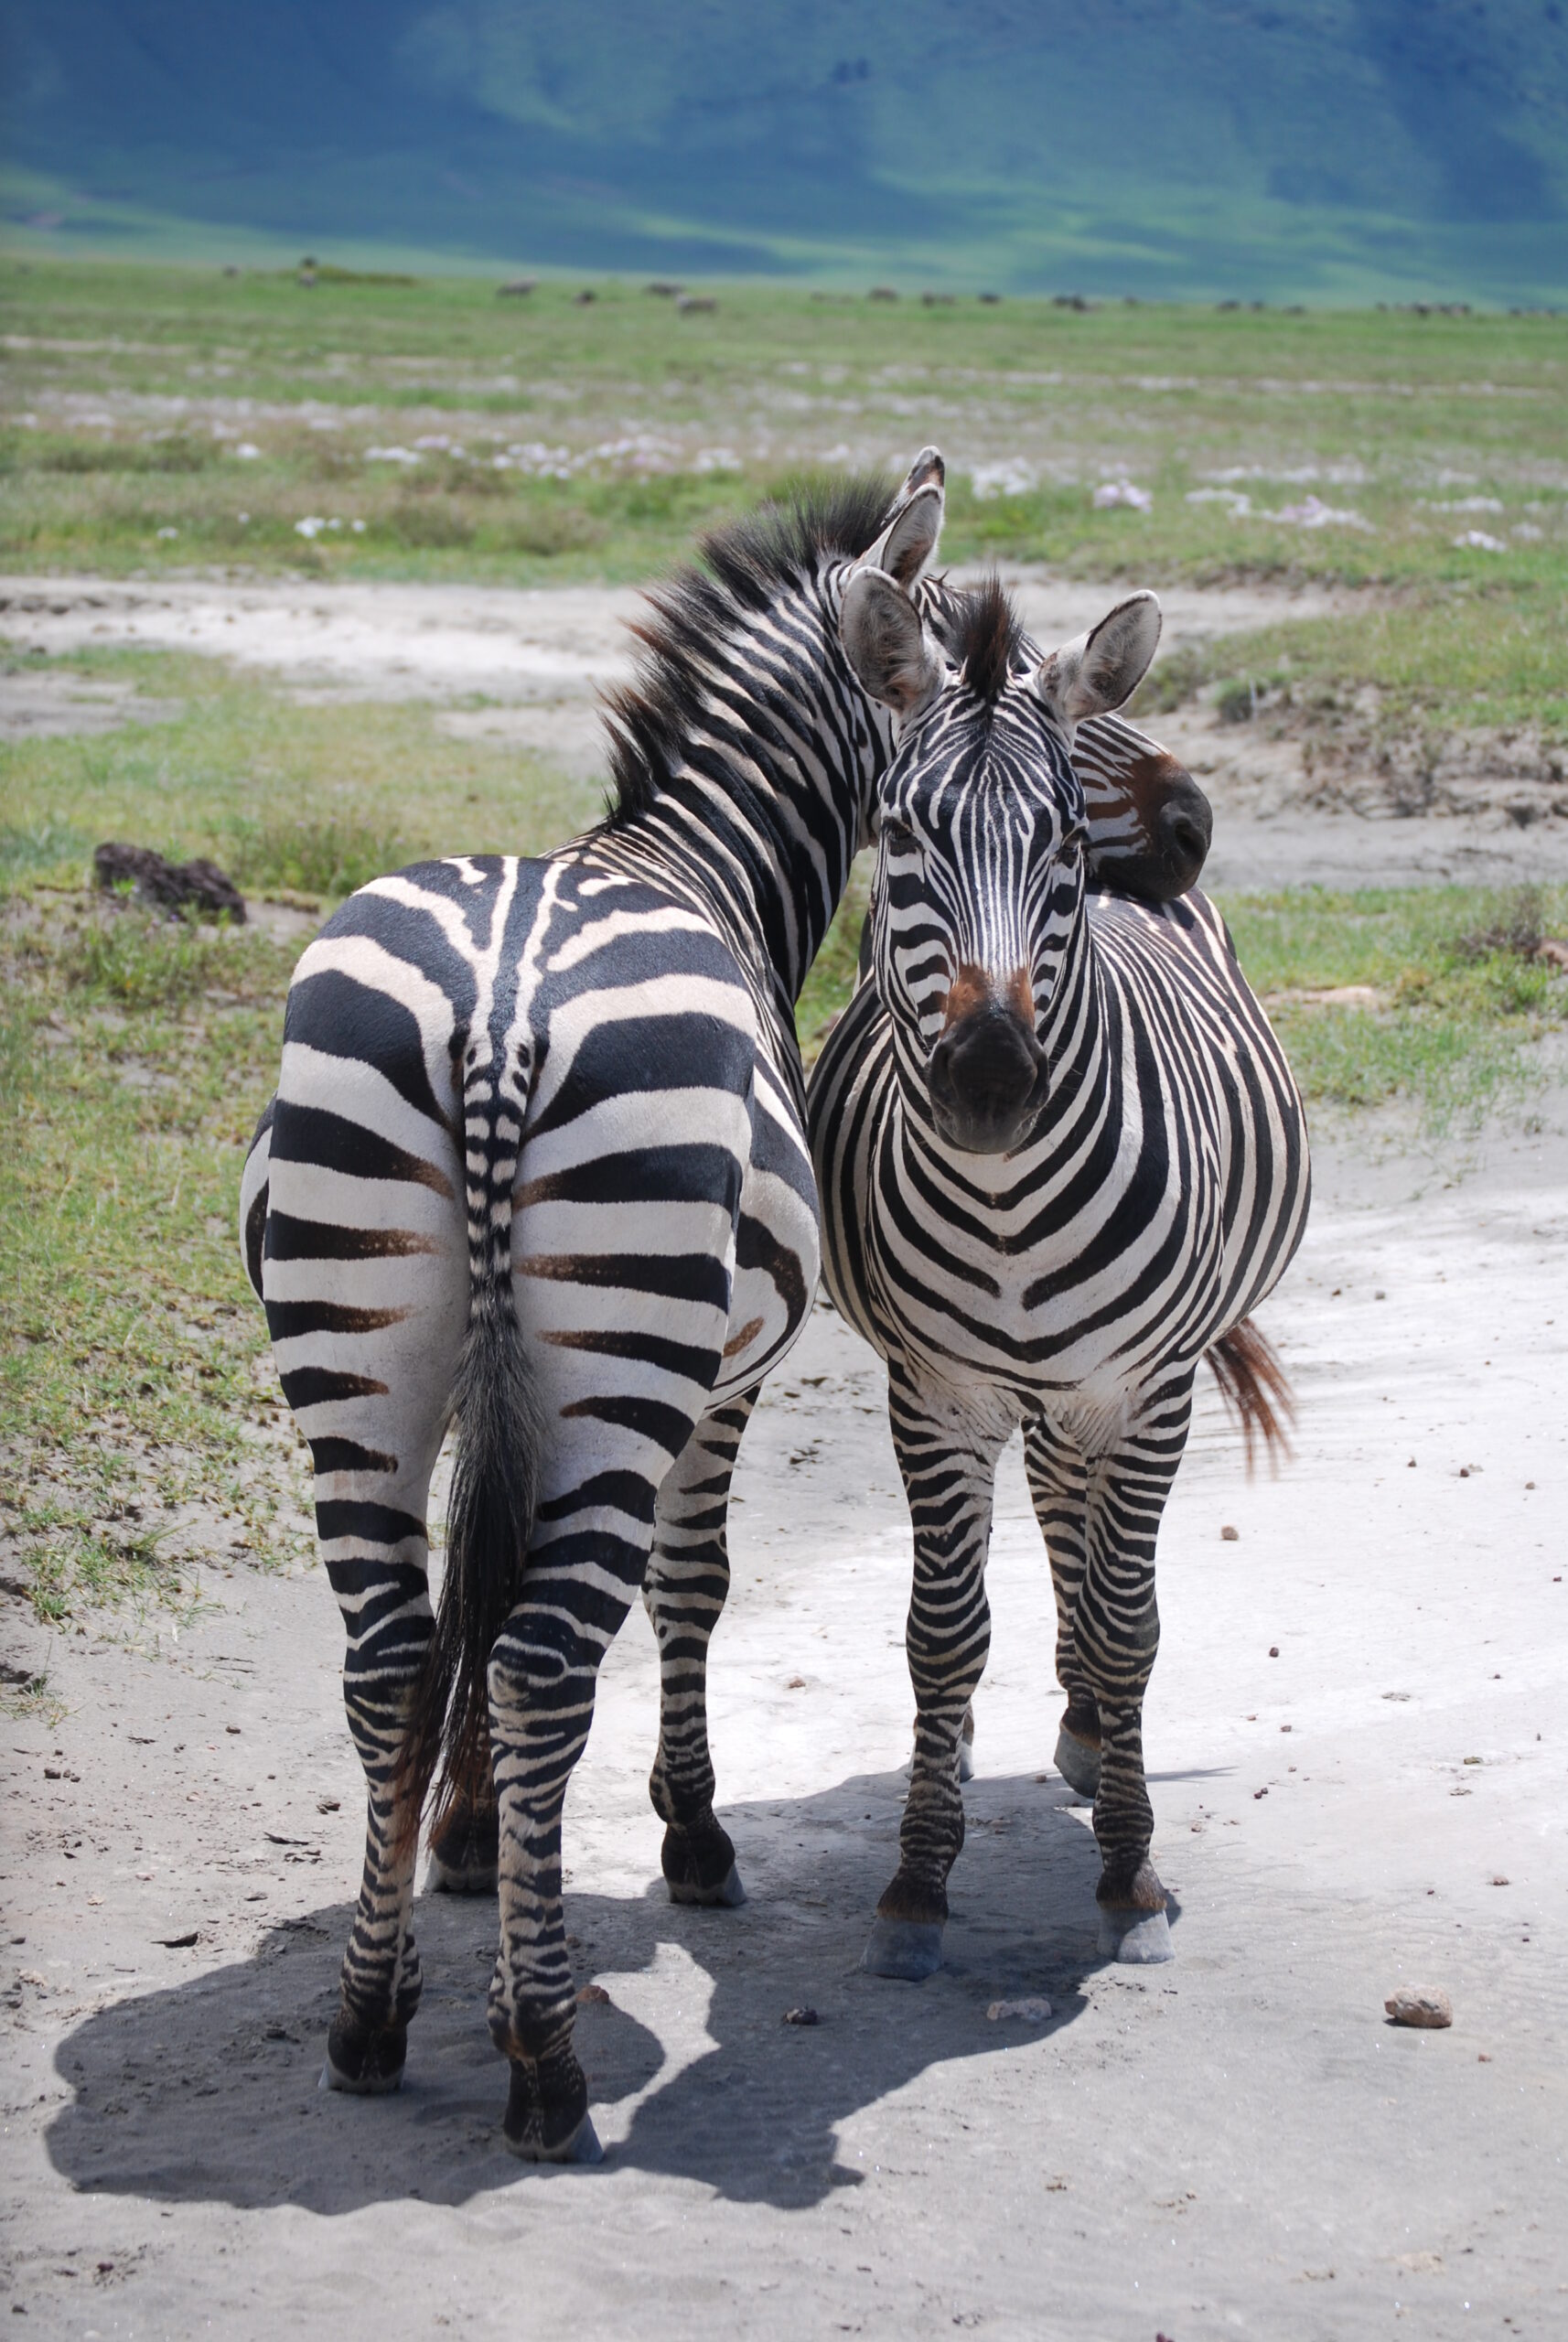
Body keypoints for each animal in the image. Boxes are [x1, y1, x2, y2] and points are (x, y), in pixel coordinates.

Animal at [240, 446, 1208, 2164]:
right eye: (1028, 673)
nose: (1192, 821)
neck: (696, 856)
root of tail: (496, 1011)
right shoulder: (723, 1382)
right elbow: (688, 1594)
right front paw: (684, 1837)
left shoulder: (497, 1386)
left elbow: (474, 1583)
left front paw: (467, 1844)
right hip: (629, 1370)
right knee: (551, 1658)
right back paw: (545, 2062)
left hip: (356, 1357)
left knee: (390, 1654)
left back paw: (367, 2020)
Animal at [805, 566, 1310, 1976]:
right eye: (899, 835)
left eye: (1061, 853)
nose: (988, 1083)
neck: (1008, 1207)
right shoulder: (935, 1397)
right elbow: (940, 1638)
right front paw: (918, 1883)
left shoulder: (1150, 1390)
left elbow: (1133, 1621)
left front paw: (1129, 1873)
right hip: (1035, 1399)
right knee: (1055, 1513)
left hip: (1106, 1389)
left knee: (1093, 1551)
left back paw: (1094, 1728)